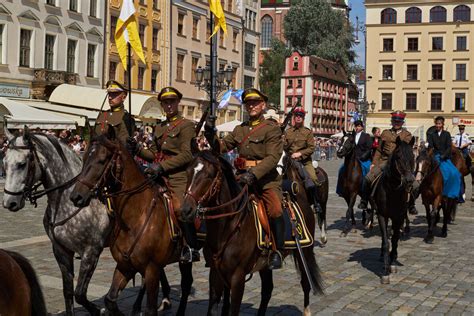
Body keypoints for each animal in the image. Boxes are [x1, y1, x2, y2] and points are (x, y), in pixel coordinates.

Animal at [2, 127, 110, 314]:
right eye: (4, 163)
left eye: (22, 164)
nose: (9, 202)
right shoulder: (61, 251)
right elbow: (68, 293)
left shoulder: (91, 251)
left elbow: (79, 294)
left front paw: (100, 310)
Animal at [69, 129, 194, 316]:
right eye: (83, 159)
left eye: (102, 160)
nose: (76, 196)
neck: (135, 217)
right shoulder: (124, 265)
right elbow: (110, 299)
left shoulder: (152, 268)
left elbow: (150, 309)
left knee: (188, 284)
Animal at [180, 151, 324, 316]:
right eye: (187, 171)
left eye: (209, 175)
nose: (185, 210)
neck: (229, 226)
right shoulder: (215, 273)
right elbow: (213, 308)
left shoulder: (237, 277)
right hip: (265, 264)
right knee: (267, 289)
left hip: (305, 251)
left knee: (306, 282)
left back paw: (307, 310)